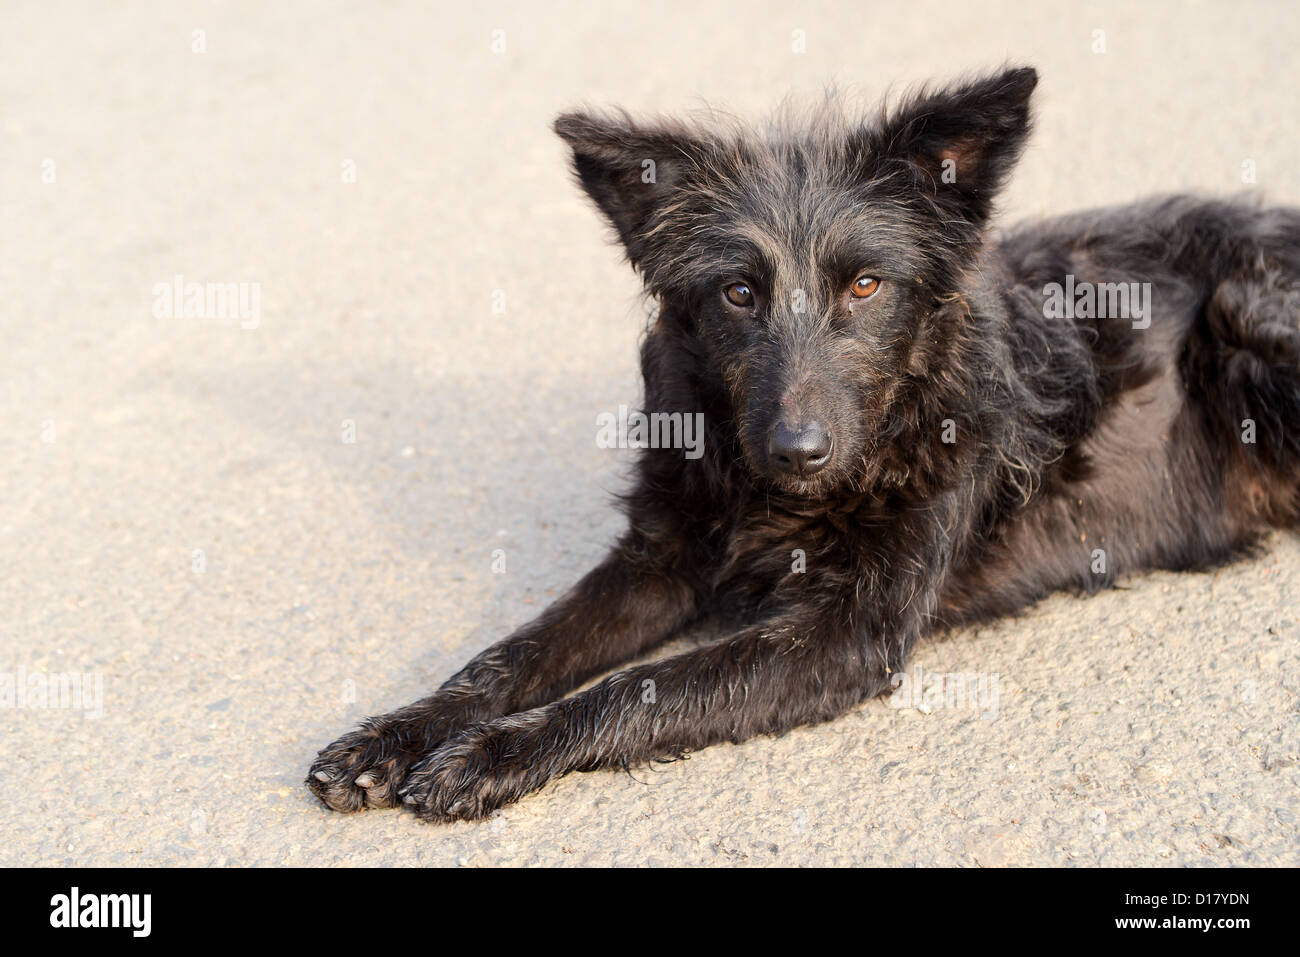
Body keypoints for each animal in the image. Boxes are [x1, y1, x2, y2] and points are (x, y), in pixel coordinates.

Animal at [306, 67, 1300, 816]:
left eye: (865, 285)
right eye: (738, 293)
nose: (799, 449)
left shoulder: (847, 635)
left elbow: (646, 685)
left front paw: (492, 755)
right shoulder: (658, 562)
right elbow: (512, 653)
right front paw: (396, 733)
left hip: (1245, 315)